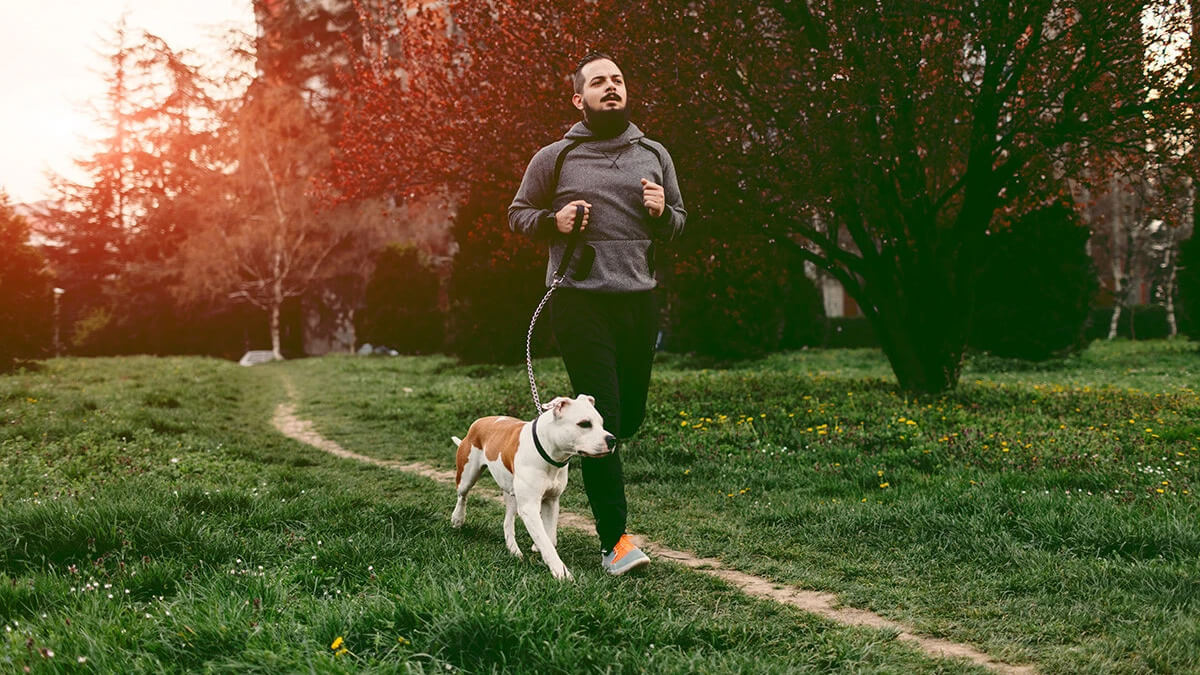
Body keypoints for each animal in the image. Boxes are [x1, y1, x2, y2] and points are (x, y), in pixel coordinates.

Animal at [451, 393, 614, 578]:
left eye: (602, 423)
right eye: (584, 424)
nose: (612, 440)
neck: (550, 453)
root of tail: (480, 421)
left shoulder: (551, 501)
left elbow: (549, 536)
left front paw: (539, 547)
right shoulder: (529, 507)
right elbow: (546, 541)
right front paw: (561, 571)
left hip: (512, 493)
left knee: (507, 521)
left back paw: (513, 550)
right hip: (467, 475)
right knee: (462, 495)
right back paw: (457, 518)